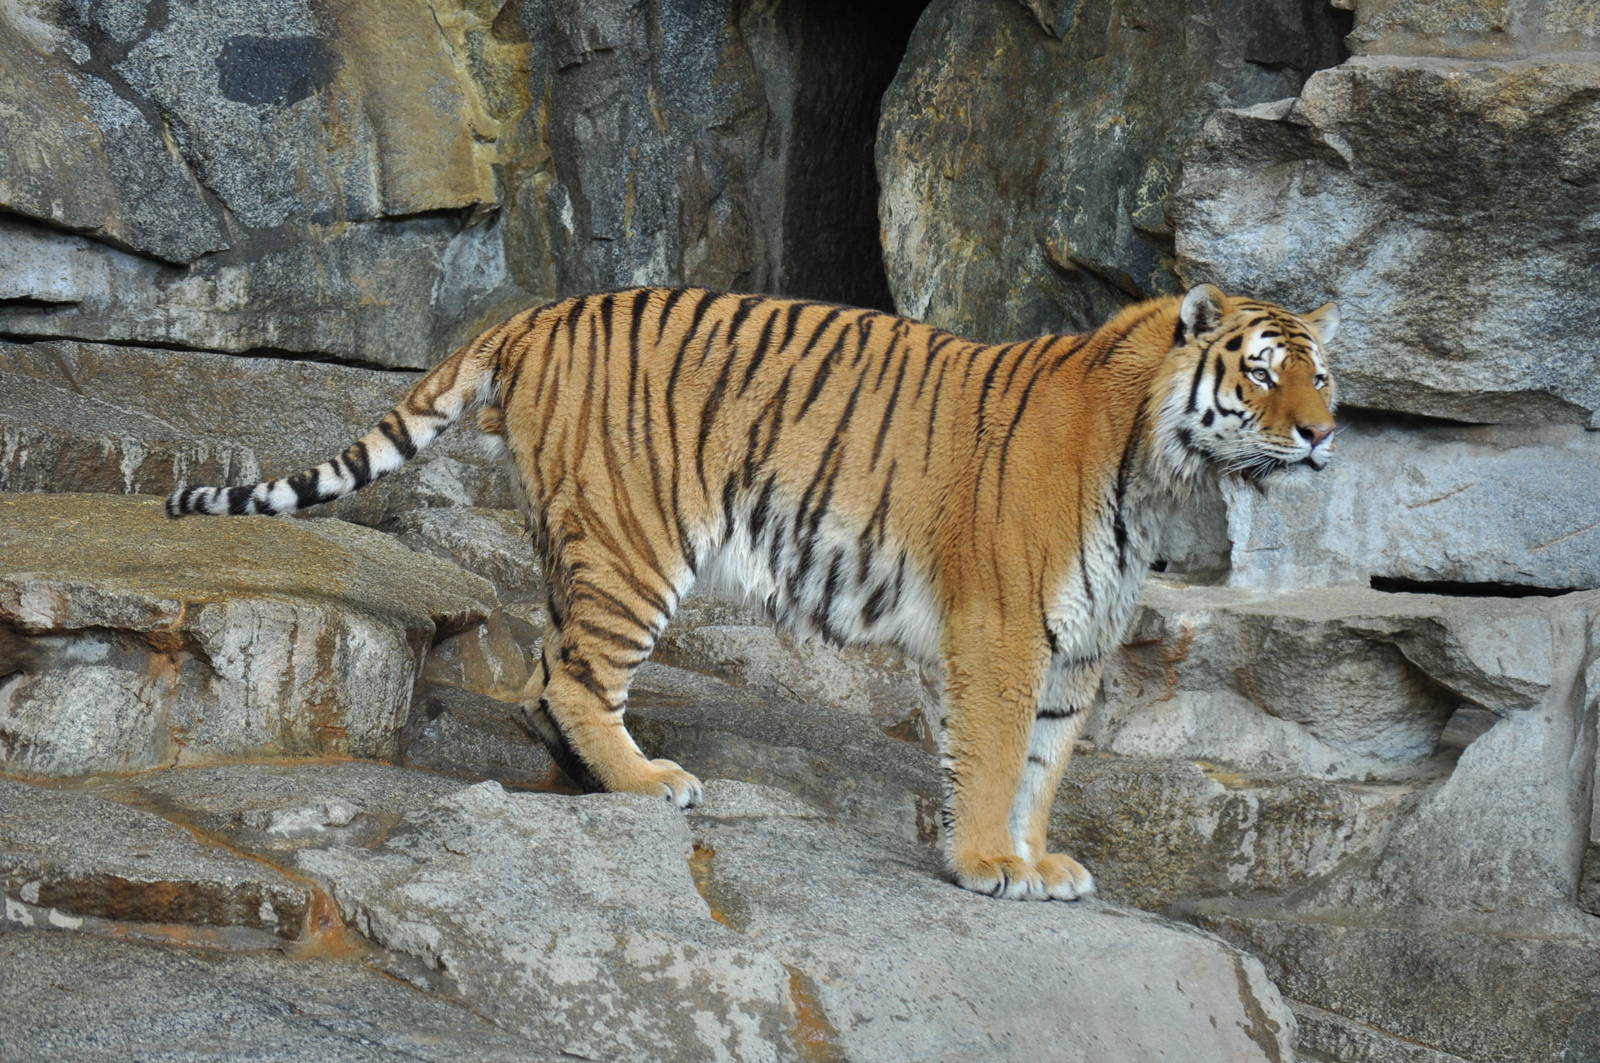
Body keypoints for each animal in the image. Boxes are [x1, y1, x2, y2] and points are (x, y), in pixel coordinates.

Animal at [167, 283, 1339, 900]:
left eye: (1322, 373)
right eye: (1261, 371)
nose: (1328, 435)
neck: (1161, 475)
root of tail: (542, 309)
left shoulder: (1077, 649)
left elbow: (1041, 767)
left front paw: (1035, 855)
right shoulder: (1003, 630)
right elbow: (999, 753)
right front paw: (984, 862)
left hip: (583, 544)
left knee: (549, 668)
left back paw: (601, 777)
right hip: (634, 544)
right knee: (574, 675)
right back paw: (649, 783)